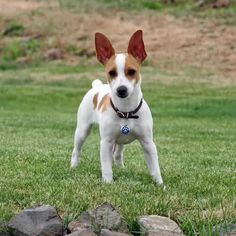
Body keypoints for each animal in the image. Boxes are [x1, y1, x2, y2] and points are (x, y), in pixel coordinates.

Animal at [70, 29, 164, 185]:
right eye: (111, 73)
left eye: (131, 71)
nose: (121, 90)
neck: (126, 112)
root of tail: (96, 86)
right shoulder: (106, 143)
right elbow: (106, 167)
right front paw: (108, 183)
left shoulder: (148, 143)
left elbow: (155, 168)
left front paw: (160, 185)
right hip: (82, 130)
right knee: (76, 150)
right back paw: (73, 166)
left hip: (120, 141)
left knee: (118, 154)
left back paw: (121, 168)